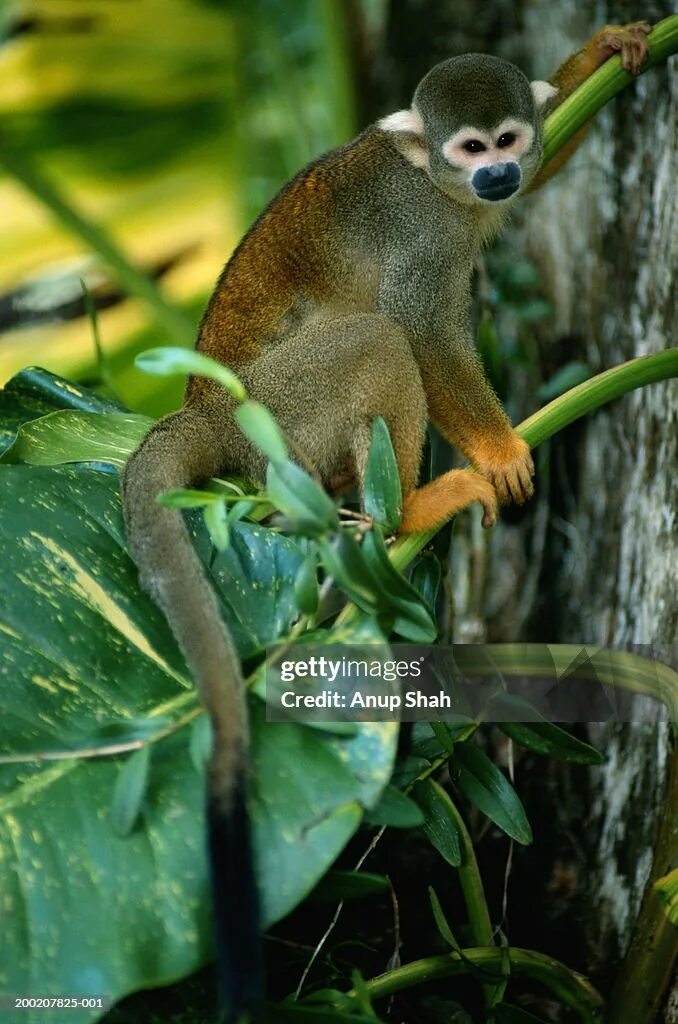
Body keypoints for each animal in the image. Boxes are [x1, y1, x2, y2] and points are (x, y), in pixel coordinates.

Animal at [122, 19, 655, 1019]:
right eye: (470, 148)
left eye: (507, 141)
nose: (496, 175)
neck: (437, 186)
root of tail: (205, 413)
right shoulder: (424, 233)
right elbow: (423, 330)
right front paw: (497, 450)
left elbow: (557, 148)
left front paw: (604, 53)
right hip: (282, 412)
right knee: (378, 339)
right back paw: (410, 508)